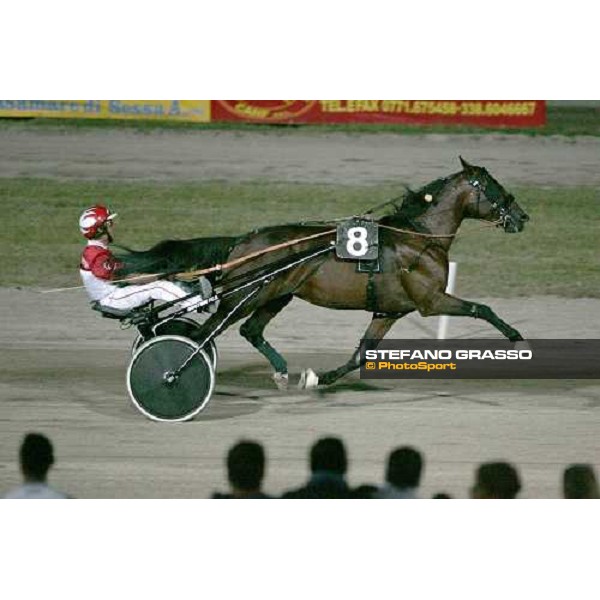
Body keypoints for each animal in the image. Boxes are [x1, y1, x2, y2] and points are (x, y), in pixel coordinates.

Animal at [115, 156, 528, 390]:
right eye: (495, 187)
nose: (523, 217)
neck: (418, 237)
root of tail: (244, 241)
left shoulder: (389, 310)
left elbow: (362, 354)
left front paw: (321, 377)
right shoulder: (430, 300)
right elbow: (481, 309)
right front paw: (516, 338)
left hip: (276, 295)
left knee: (248, 331)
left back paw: (282, 372)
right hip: (246, 295)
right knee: (204, 334)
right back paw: (174, 373)